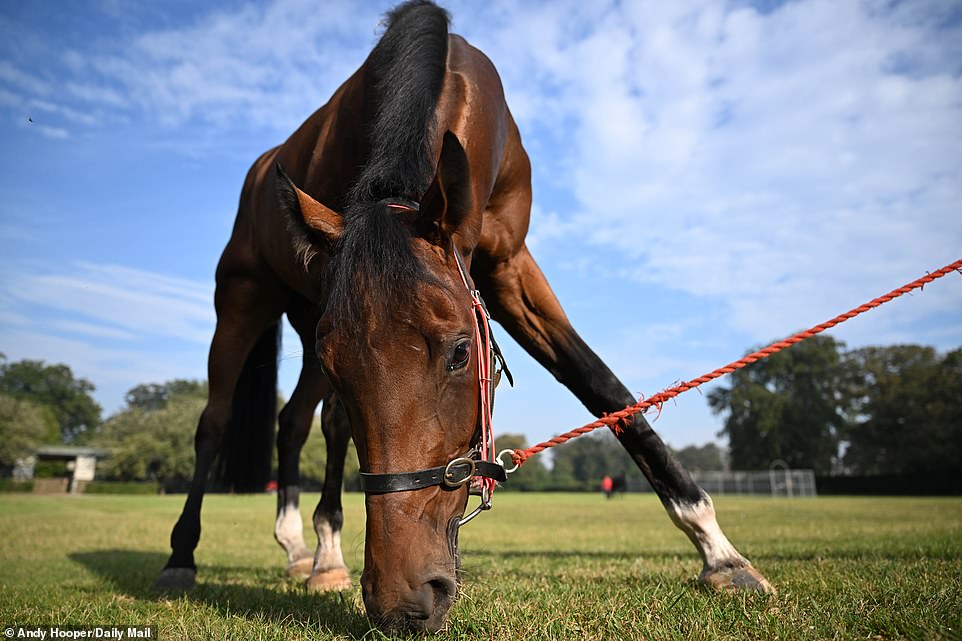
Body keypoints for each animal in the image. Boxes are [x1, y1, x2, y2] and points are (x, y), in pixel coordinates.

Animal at [158, 0, 772, 632]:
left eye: (460, 352)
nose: (403, 603)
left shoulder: (506, 267)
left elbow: (600, 385)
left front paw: (718, 551)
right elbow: (331, 421)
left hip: (307, 319)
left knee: (295, 422)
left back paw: (307, 552)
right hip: (243, 301)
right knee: (216, 422)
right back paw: (185, 556)